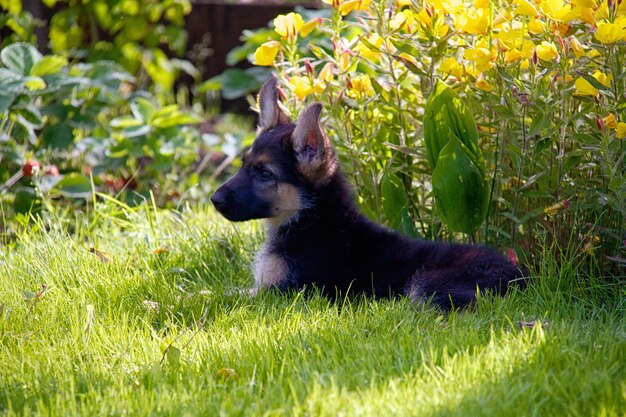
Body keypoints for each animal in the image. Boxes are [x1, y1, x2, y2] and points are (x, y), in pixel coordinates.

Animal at [212, 79, 520, 308]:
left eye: (265, 174)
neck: (308, 218)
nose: (215, 200)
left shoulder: (279, 293)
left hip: (425, 284)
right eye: (243, 164)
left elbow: (222, 295)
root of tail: (521, 278)